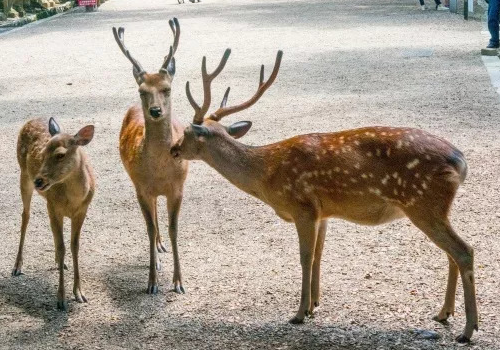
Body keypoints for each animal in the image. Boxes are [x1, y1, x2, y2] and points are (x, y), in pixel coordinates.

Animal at [13, 116, 95, 310]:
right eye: (42, 154)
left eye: (60, 155)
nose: (39, 181)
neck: (73, 200)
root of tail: (31, 119)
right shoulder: (53, 207)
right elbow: (62, 246)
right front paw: (61, 299)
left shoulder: (82, 210)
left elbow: (74, 246)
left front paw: (79, 293)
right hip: (23, 175)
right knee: (25, 216)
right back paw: (17, 266)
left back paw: (60, 262)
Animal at [112, 17, 188, 296]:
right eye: (142, 90)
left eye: (167, 89)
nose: (155, 111)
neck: (160, 170)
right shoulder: (142, 188)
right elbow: (149, 227)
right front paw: (152, 282)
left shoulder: (177, 188)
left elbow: (174, 229)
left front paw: (178, 282)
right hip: (139, 185)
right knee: (153, 216)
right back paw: (156, 252)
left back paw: (161, 246)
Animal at [171, 48, 480, 342]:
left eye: (186, 131)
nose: (173, 149)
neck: (267, 177)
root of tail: (460, 161)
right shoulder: (322, 212)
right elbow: (319, 255)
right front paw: (313, 305)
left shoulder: (302, 206)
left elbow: (305, 257)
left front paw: (298, 314)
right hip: (434, 208)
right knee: (452, 253)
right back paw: (443, 314)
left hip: (423, 203)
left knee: (464, 250)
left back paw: (468, 330)